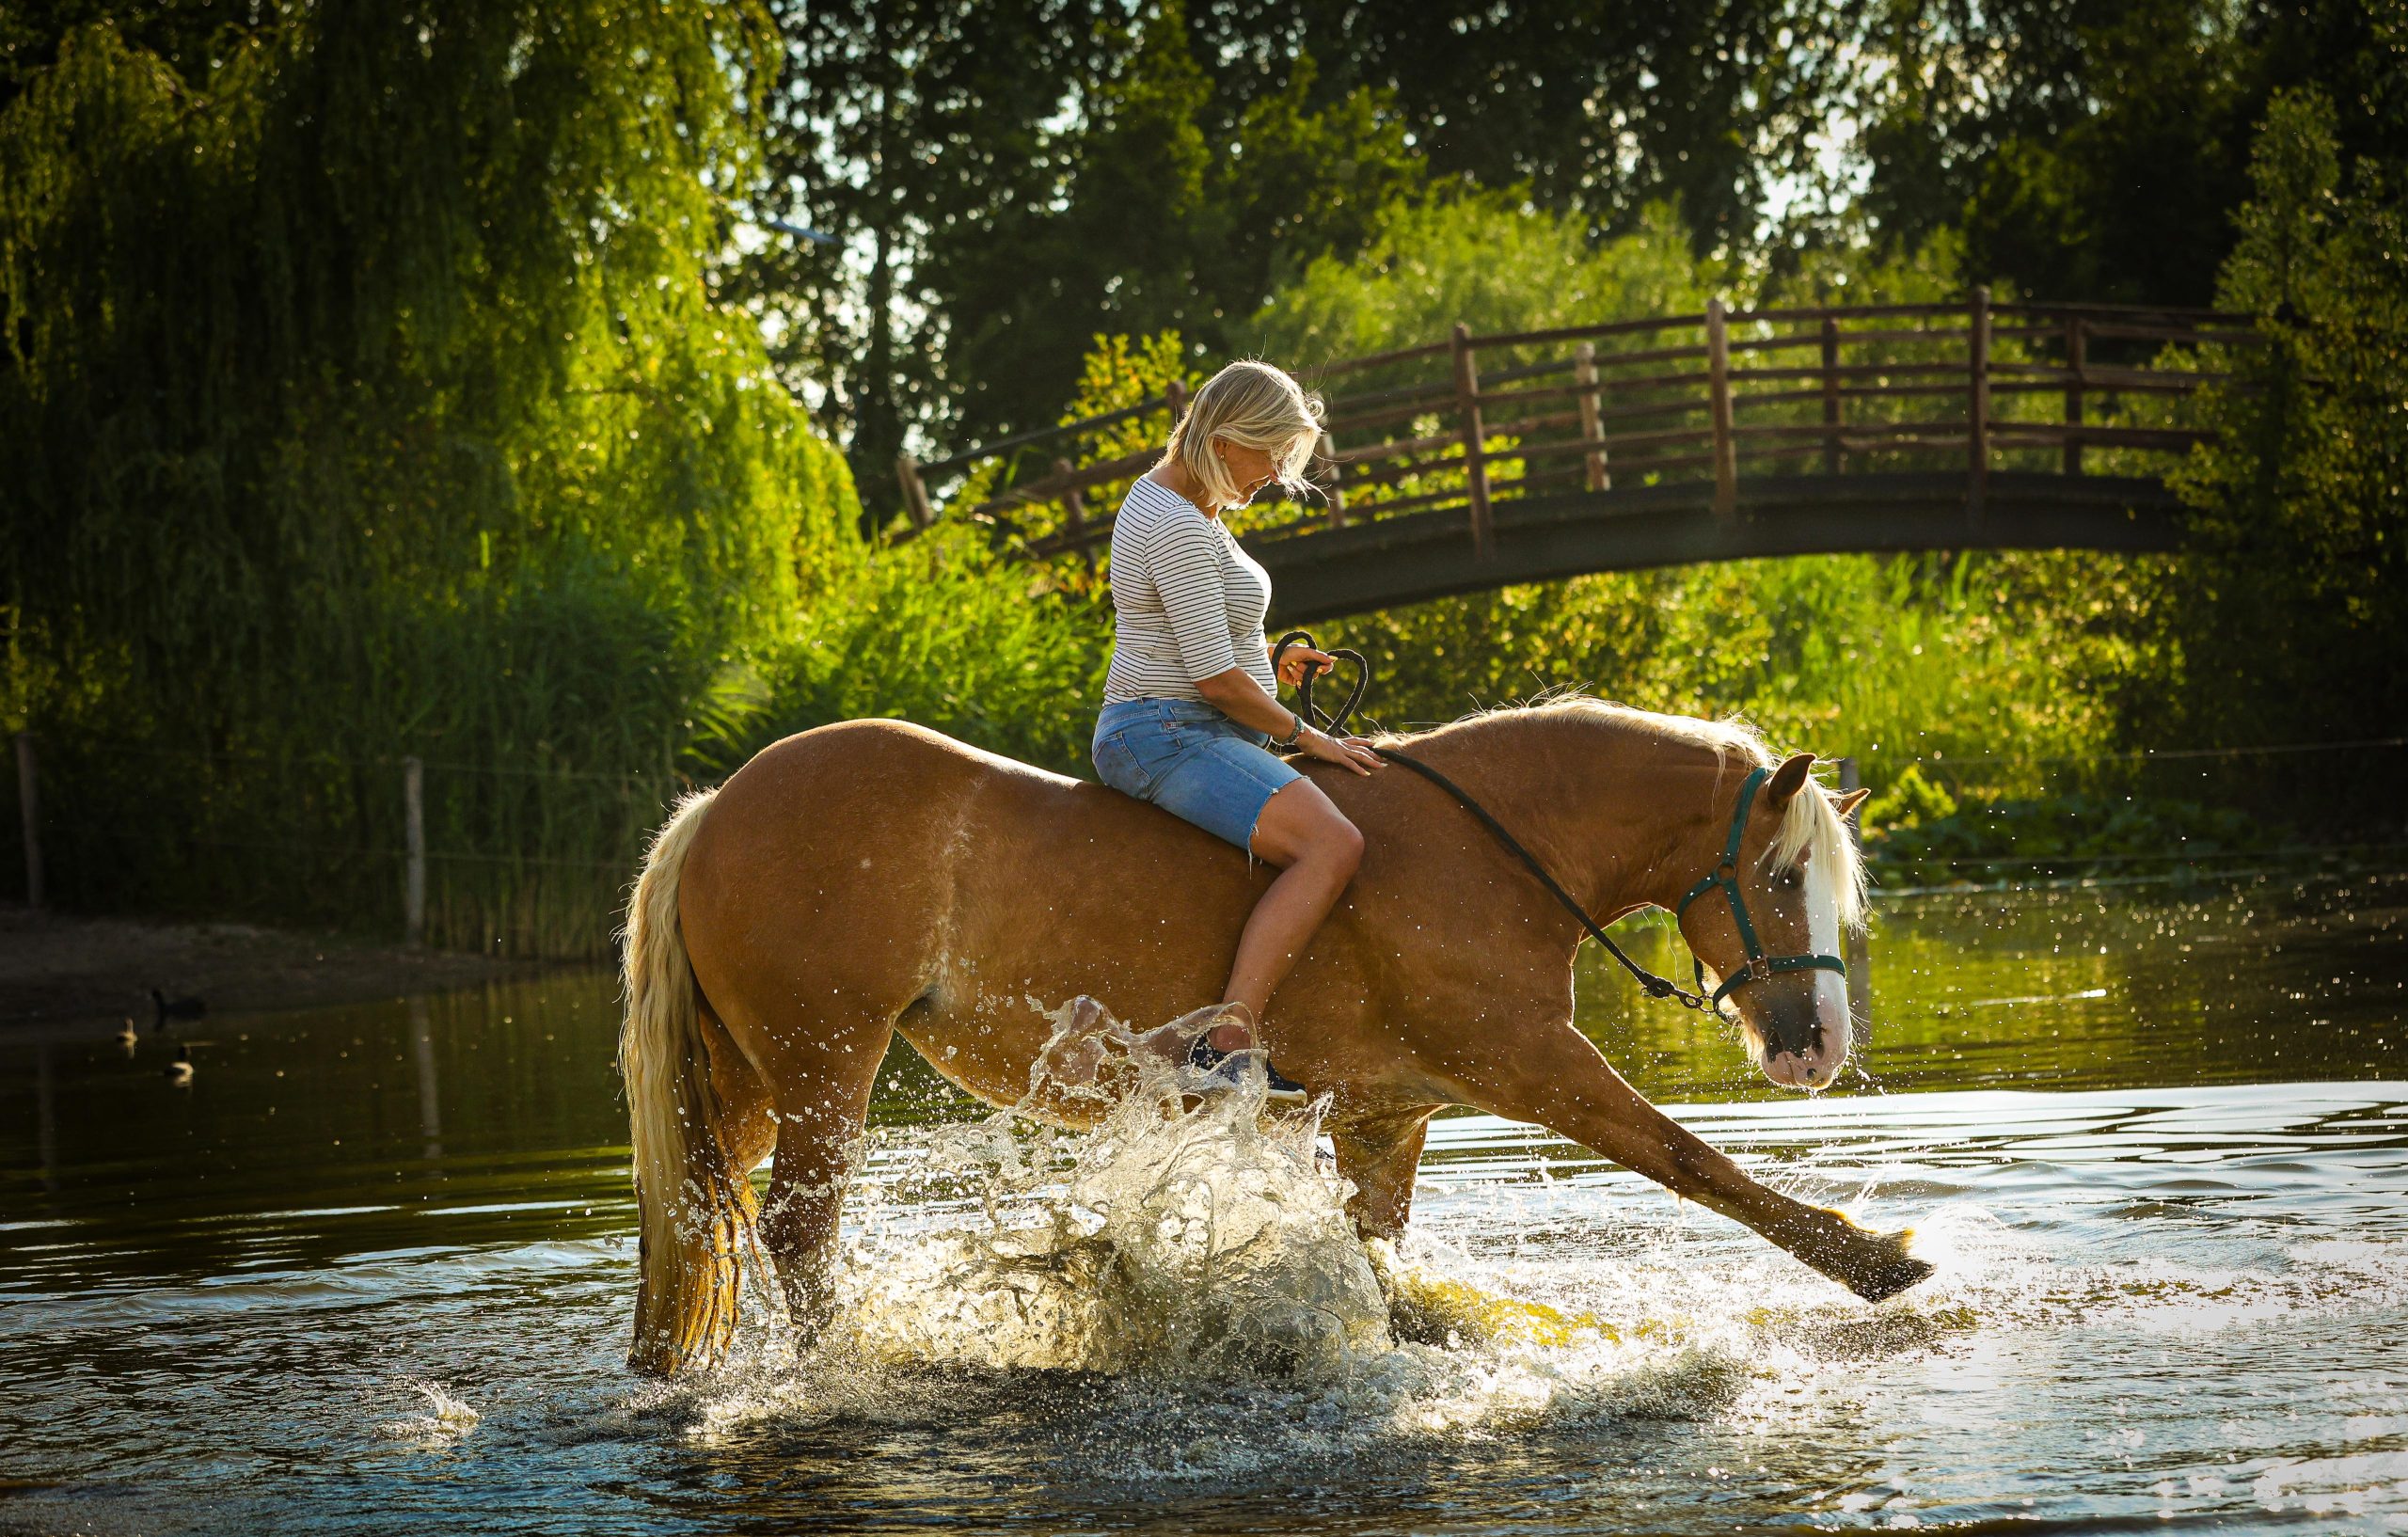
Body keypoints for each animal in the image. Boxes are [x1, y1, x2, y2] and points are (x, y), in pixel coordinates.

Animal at [618, 697, 1933, 1376]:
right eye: (1779, 875)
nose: (1816, 1047)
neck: (1483, 852)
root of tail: (718, 805)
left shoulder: (1386, 1115)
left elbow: (1381, 1260)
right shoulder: (1536, 1065)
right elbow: (1689, 1158)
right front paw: (1875, 1259)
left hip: (750, 1079)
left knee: (720, 1228)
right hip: (823, 1059)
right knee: (799, 1232)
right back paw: (855, 1368)